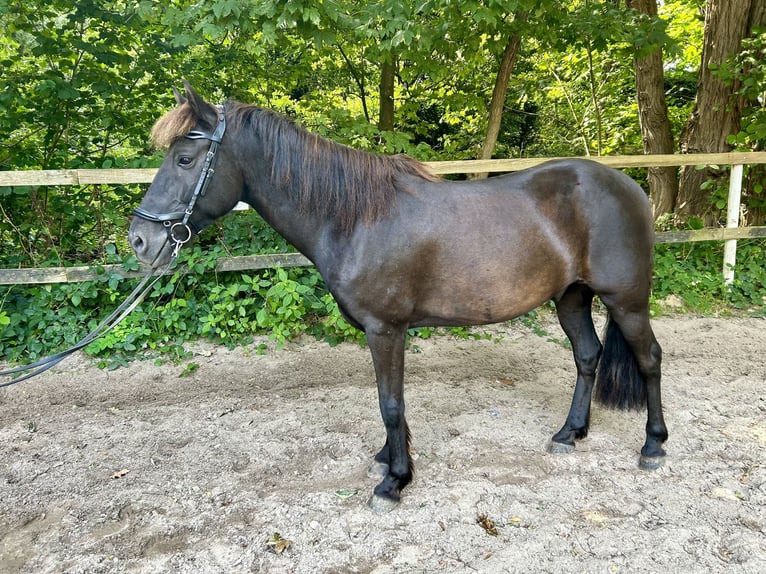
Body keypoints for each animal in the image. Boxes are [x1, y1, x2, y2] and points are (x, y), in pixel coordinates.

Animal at [129, 84, 668, 512]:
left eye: (184, 159)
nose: (139, 240)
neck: (355, 218)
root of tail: (630, 186)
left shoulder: (385, 330)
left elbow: (391, 402)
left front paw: (394, 481)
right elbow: (390, 403)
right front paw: (389, 460)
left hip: (626, 301)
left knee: (649, 360)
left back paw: (653, 447)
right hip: (571, 298)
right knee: (588, 356)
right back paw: (569, 434)